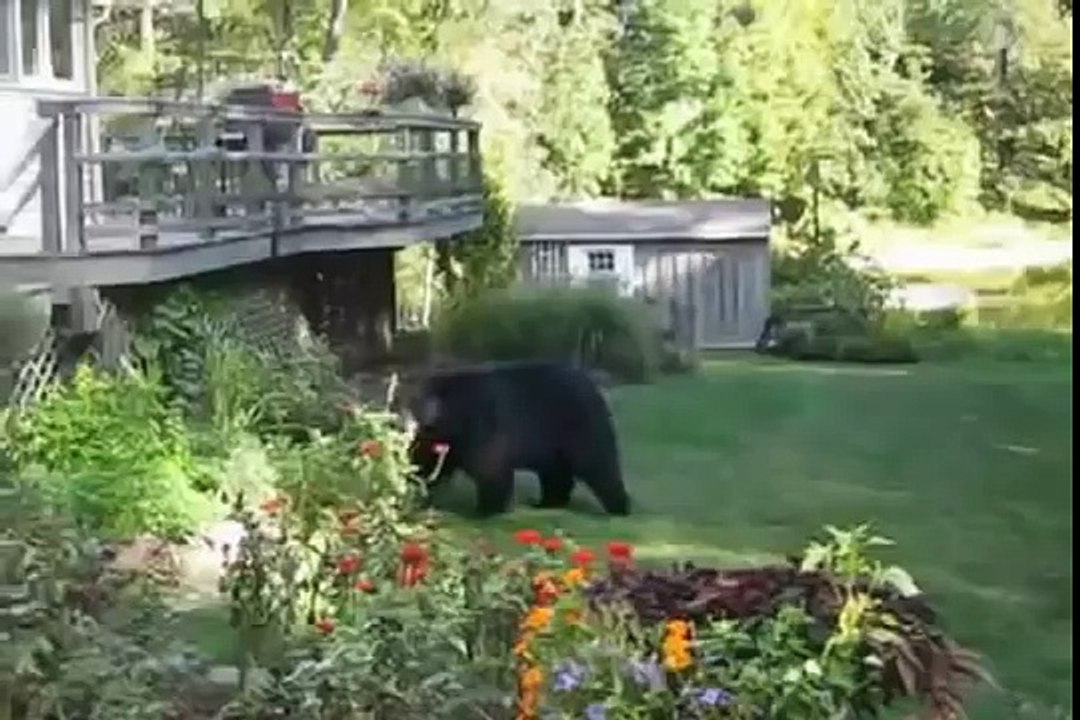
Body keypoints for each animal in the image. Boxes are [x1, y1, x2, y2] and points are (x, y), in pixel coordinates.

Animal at [407, 360, 631, 518]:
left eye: (436, 402)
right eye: (420, 401)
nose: (426, 419)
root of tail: (593, 385)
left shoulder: (482, 424)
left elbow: (490, 467)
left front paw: (486, 509)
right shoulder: (446, 440)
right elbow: (427, 461)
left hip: (578, 425)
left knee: (599, 465)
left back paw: (619, 506)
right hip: (554, 444)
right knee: (556, 474)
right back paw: (547, 502)